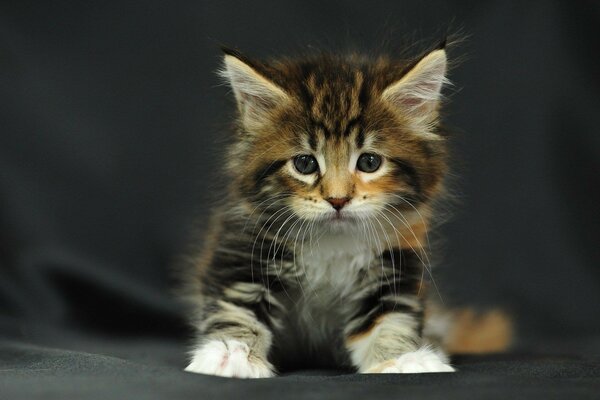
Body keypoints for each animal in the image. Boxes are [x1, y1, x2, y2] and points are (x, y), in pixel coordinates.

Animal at [183, 42, 506, 376]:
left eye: (369, 162)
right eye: (304, 163)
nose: (337, 200)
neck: (332, 244)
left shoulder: (395, 266)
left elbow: (391, 320)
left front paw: (402, 359)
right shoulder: (243, 252)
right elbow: (236, 309)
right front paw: (233, 353)